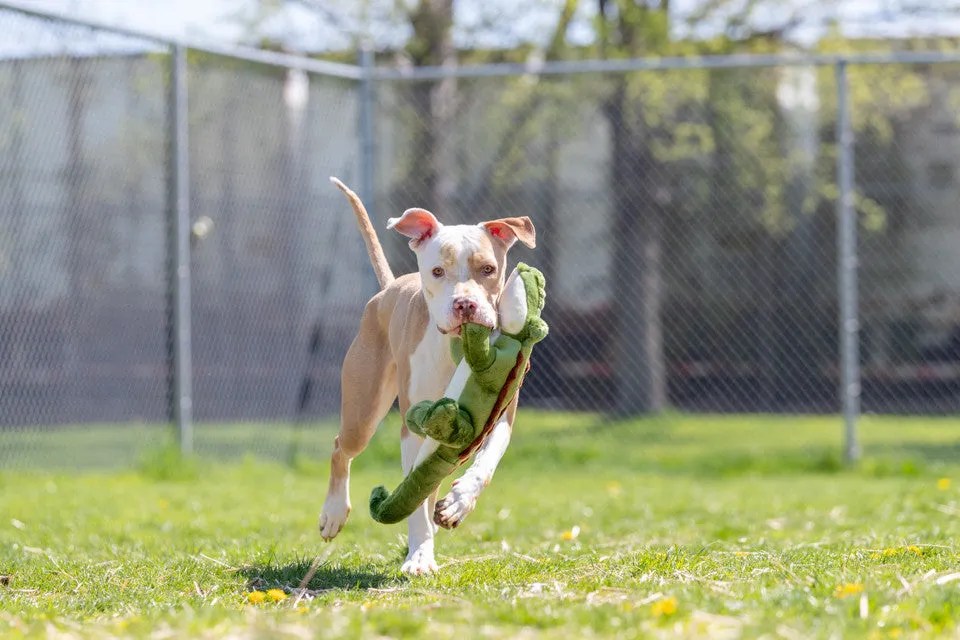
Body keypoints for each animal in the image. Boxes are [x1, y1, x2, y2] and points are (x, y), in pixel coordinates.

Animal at [318, 179, 536, 576]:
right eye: (437, 272)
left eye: (488, 269)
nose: (465, 304)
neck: (458, 347)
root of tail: (388, 288)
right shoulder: (413, 426)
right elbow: (416, 497)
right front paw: (419, 556)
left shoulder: (501, 414)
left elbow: (486, 463)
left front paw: (458, 503)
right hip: (363, 409)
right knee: (343, 448)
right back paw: (334, 514)